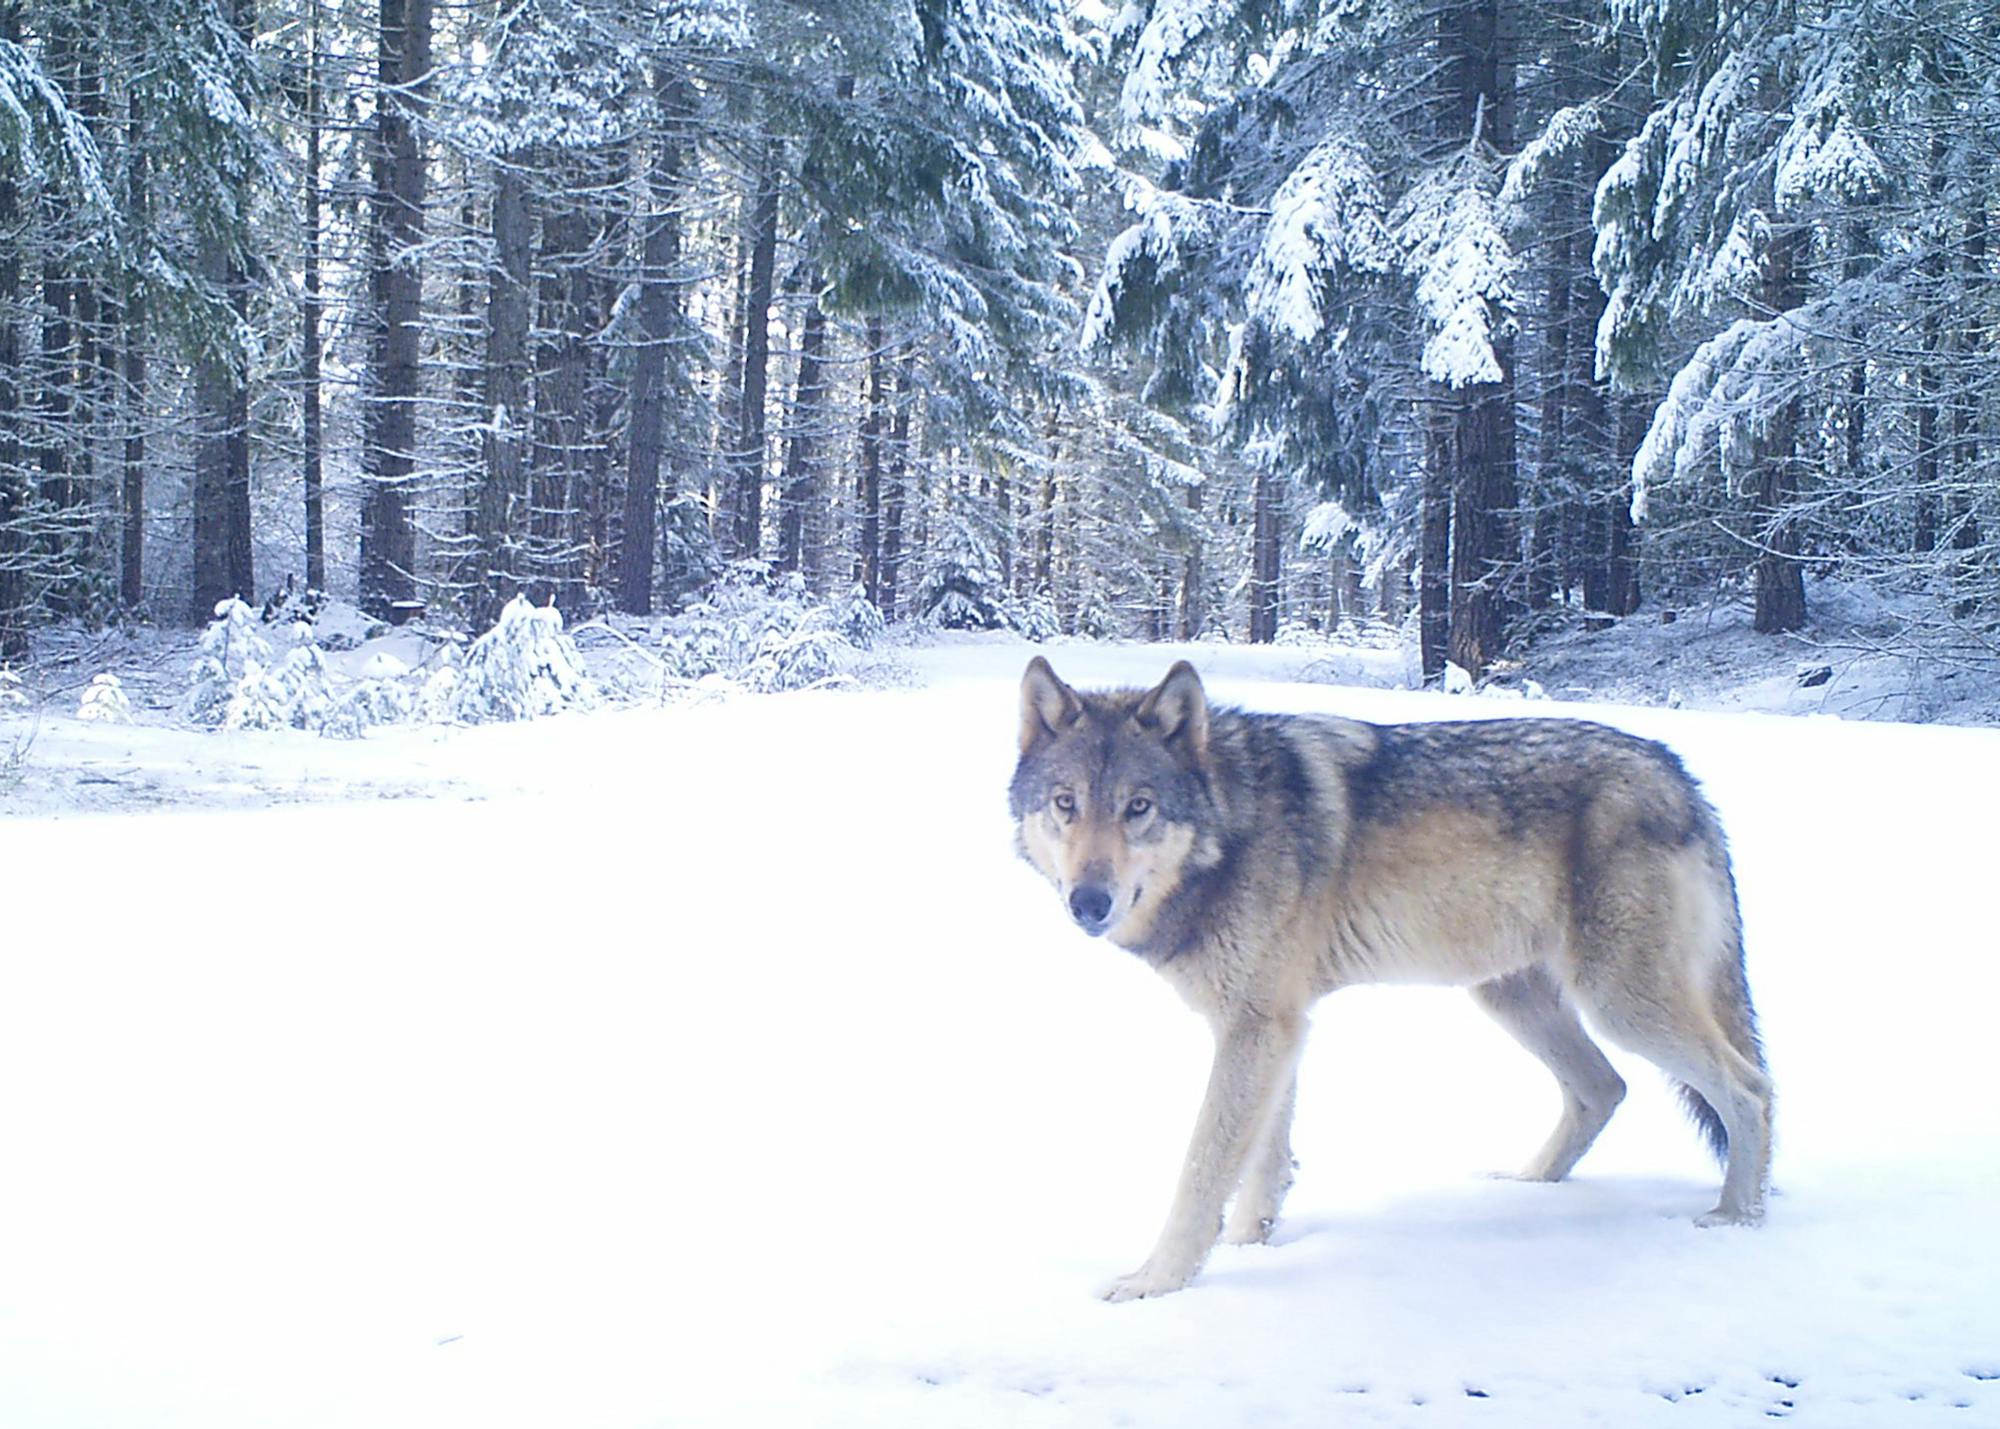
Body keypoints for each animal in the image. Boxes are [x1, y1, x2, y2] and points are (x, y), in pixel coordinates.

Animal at [1010, 657, 1773, 1301]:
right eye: (1066, 803)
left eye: (1138, 806)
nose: (1088, 901)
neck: (1231, 823)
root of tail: (1679, 771)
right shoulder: (1275, 1026)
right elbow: (1264, 1163)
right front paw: (1252, 1246)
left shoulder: (1257, 1028)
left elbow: (1203, 1170)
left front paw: (1157, 1281)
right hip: (1512, 997)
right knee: (1603, 1088)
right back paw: (1528, 1184)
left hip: (1619, 1003)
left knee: (1749, 1088)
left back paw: (1738, 1219)